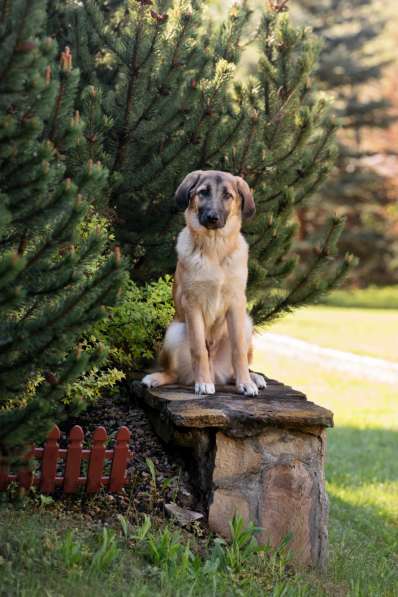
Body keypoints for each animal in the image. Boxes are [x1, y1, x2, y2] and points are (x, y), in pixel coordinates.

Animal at [141, 170, 266, 396]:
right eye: (203, 192)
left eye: (228, 195)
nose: (212, 218)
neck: (214, 246)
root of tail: (217, 373)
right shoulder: (192, 304)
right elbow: (199, 349)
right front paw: (203, 383)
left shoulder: (236, 304)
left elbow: (238, 351)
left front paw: (245, 383)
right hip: (175, 332)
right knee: (175, 373)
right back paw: (156, 378)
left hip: (246, 323)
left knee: (237, 364)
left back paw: (253, 377)